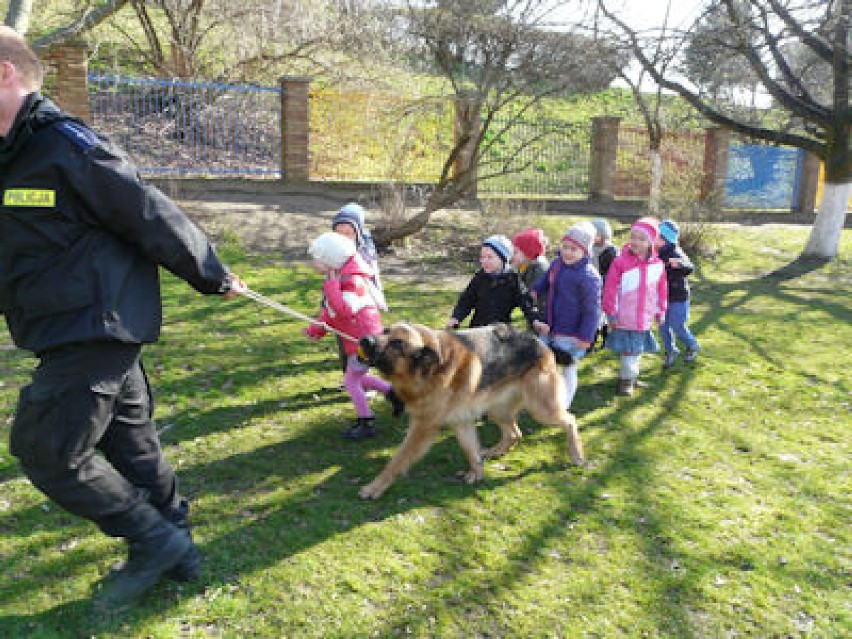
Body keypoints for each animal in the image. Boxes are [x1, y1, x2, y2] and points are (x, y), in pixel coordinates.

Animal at [354, 324, 584, 500]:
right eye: (385, 330)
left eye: (397, 343)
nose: (364, 340)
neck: (429, 370)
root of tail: (540, 341)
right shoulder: (461, 421)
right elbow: (470, 451)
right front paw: (477, 473)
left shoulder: (422, 428)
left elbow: (397, 460)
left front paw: (375, 487)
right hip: (494, 409)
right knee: (514, 433)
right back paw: (494, 451)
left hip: (541, 408)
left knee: (570, 420)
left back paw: (576, 455)